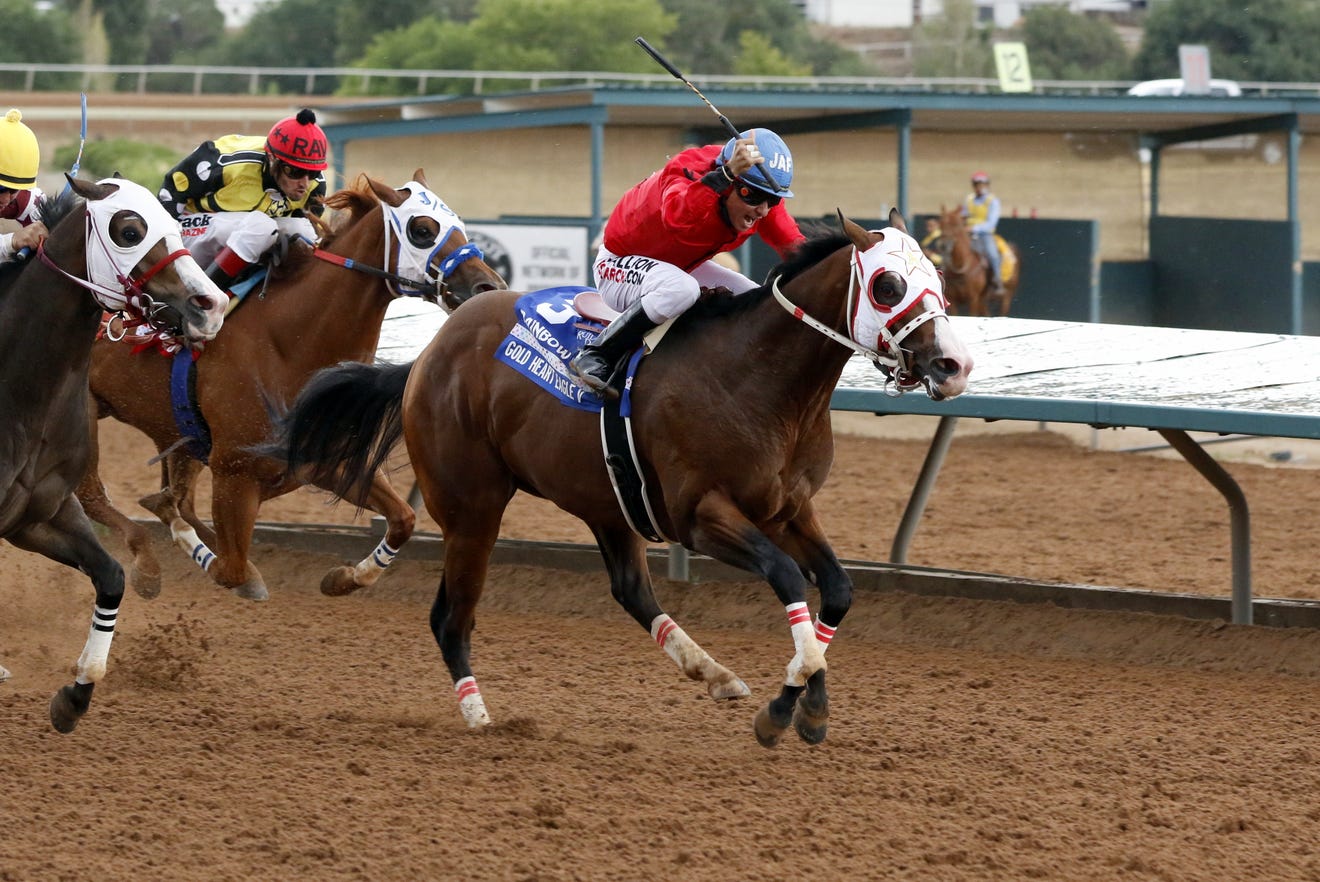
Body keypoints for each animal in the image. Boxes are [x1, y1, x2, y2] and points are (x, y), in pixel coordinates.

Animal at [0, 175, 225, 734]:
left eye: (176, 222)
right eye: (130, 231)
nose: (212, 304)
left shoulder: (41, 514)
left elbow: (112, 577)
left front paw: (74, 695)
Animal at [75, 170, 504, 602]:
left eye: (459, 225)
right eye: (423, 229)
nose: (489, 287)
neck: (287, 343)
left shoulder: (328, 459)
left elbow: (404, 518)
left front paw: (344, 578)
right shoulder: (235, 472)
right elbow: (229, 568)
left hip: (174, 432)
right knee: (92, 495)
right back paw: (146, 562)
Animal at [262, 209, 976, 749]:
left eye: (937, 276)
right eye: (886, 284)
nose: (955, 364)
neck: (759, 378)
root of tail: (427, 356)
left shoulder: (788, 508)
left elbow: (838, 590)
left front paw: (804, 706)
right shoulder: (700, 515)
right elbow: (786, 577)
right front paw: (784, 711)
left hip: (604, 501)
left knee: (631, 589)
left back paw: (712, 671)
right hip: (473, 507)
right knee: (449, 618)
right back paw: (480, 716)